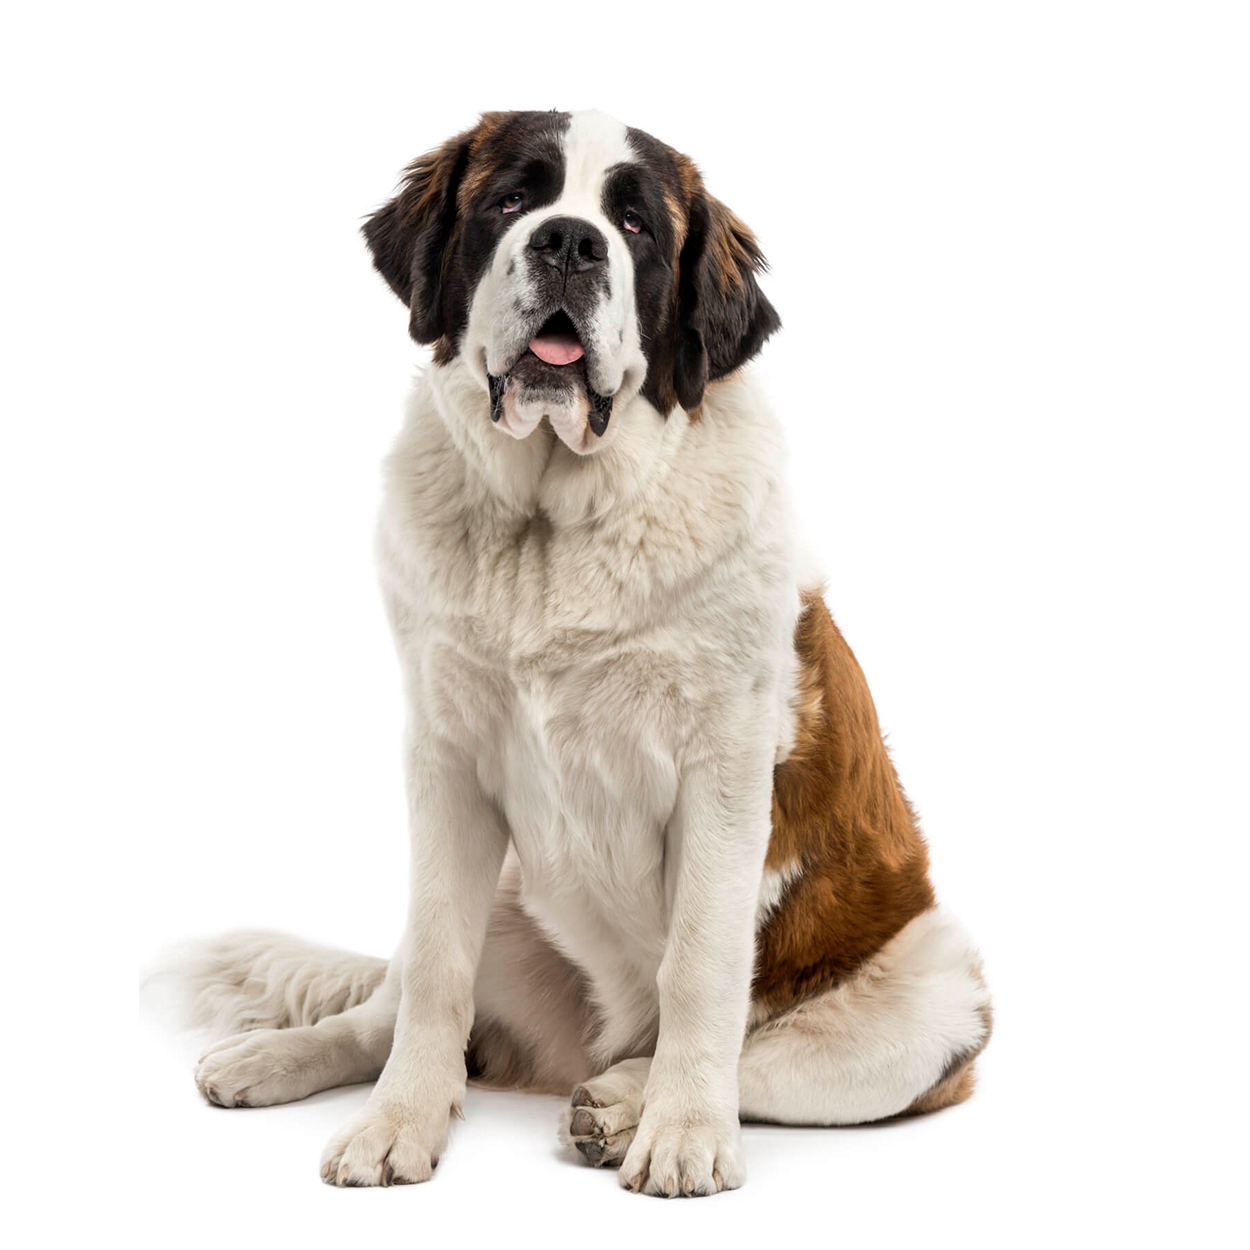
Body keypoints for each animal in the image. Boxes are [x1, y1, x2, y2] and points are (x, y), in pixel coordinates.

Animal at [181, 112, 990, 1195]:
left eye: (636, 223)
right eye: (511, 200)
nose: (570, 243)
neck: (552, 519)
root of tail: (587, 1041)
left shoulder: (724, 776)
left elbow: (702, 972)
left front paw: (683, 1133)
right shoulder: (446, 761)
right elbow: (433, 966)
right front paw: (396, 1123)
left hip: (937, 992)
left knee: (762, 1053)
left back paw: (621, 1100)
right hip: (514, 895)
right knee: (389, 1003)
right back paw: (275, 1057)